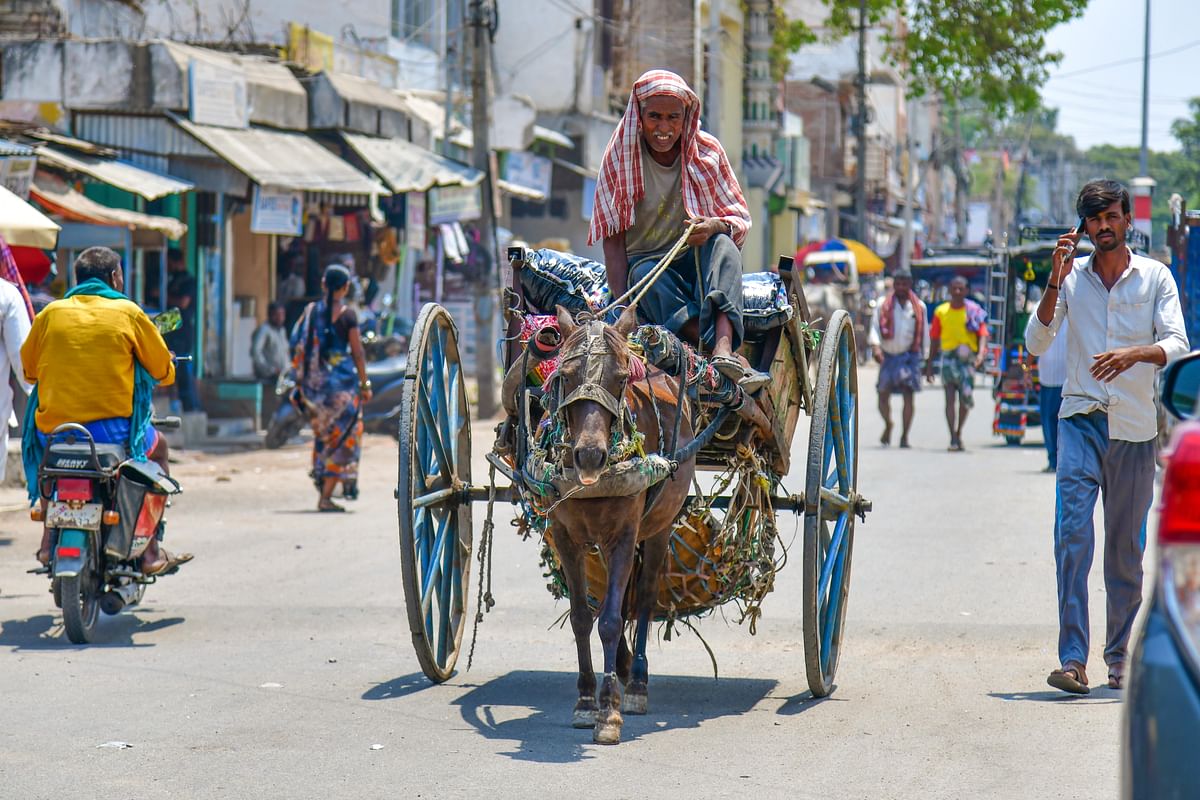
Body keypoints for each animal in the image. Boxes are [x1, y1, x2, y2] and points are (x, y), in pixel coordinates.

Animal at [549, 304, 700, 743]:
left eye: (620, 379)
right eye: (565, 376)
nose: (589, 456)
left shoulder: (623, 536)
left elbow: (613, 620)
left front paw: (610, 712)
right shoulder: (564, 537)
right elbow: (583, 618)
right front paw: (586, 701)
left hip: (658, 528)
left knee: (645, 597)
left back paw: (636, 682)